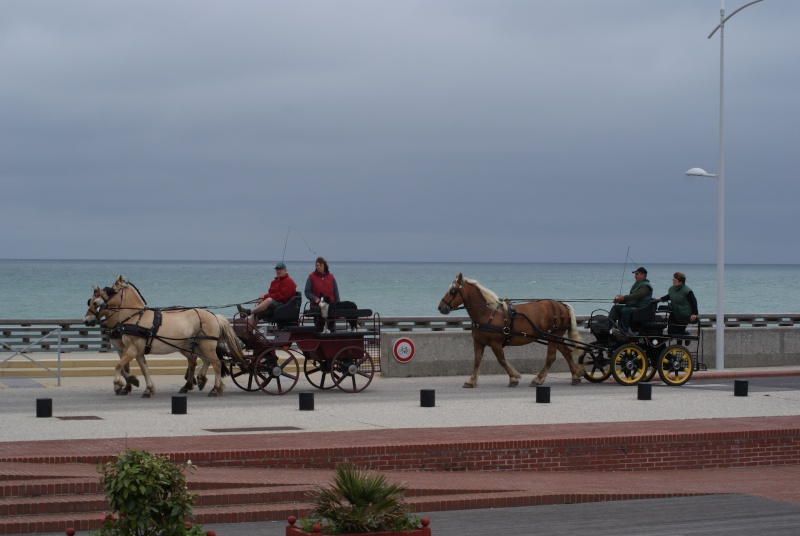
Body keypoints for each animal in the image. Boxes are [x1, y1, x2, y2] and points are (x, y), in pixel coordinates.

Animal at [440, 274, 584, 388]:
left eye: (453, 291)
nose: (440, 307)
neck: (487, 313)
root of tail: (562, 305)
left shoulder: (496, 344)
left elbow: (501, 360)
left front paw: (514, 377)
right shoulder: (479, 342)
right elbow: (477, 360)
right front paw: (471, 380)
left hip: (554, 335)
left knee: (551, 357)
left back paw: (538, 379)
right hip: (555, 336)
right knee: (566, 353)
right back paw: (575, 376)